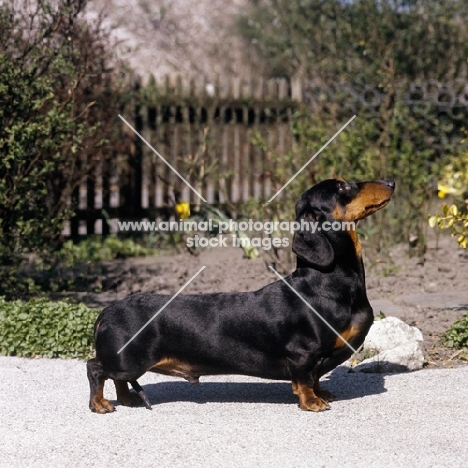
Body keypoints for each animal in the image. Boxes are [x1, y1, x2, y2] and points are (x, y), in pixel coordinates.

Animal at [86, 179, 394, 414]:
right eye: (343, 187)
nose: (391, 182)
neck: (326, 282)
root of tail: (108, 311)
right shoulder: (302, 354)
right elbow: (305, 381)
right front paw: (312, 402)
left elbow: (316, 378)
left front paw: (322, 393)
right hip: (127, 360)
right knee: (96, 369)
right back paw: (100, 404)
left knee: (115, 378)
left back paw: (127, 398)